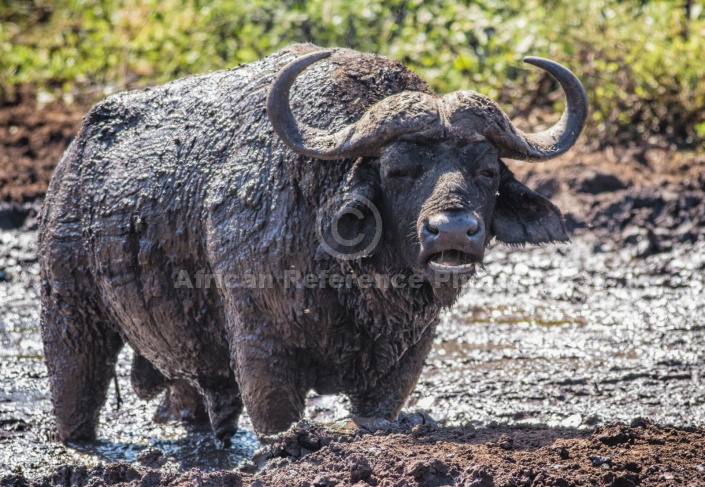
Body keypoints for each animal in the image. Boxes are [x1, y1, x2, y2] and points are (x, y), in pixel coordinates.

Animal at [38, 43, 588, 444]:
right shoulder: (262, 349)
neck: (351, 279)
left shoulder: (406, 359)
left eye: (487, 171)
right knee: (76, 388)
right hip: (70, 312)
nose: (453, 229)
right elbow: (276, 415)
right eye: (397, 170)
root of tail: (73, 159)